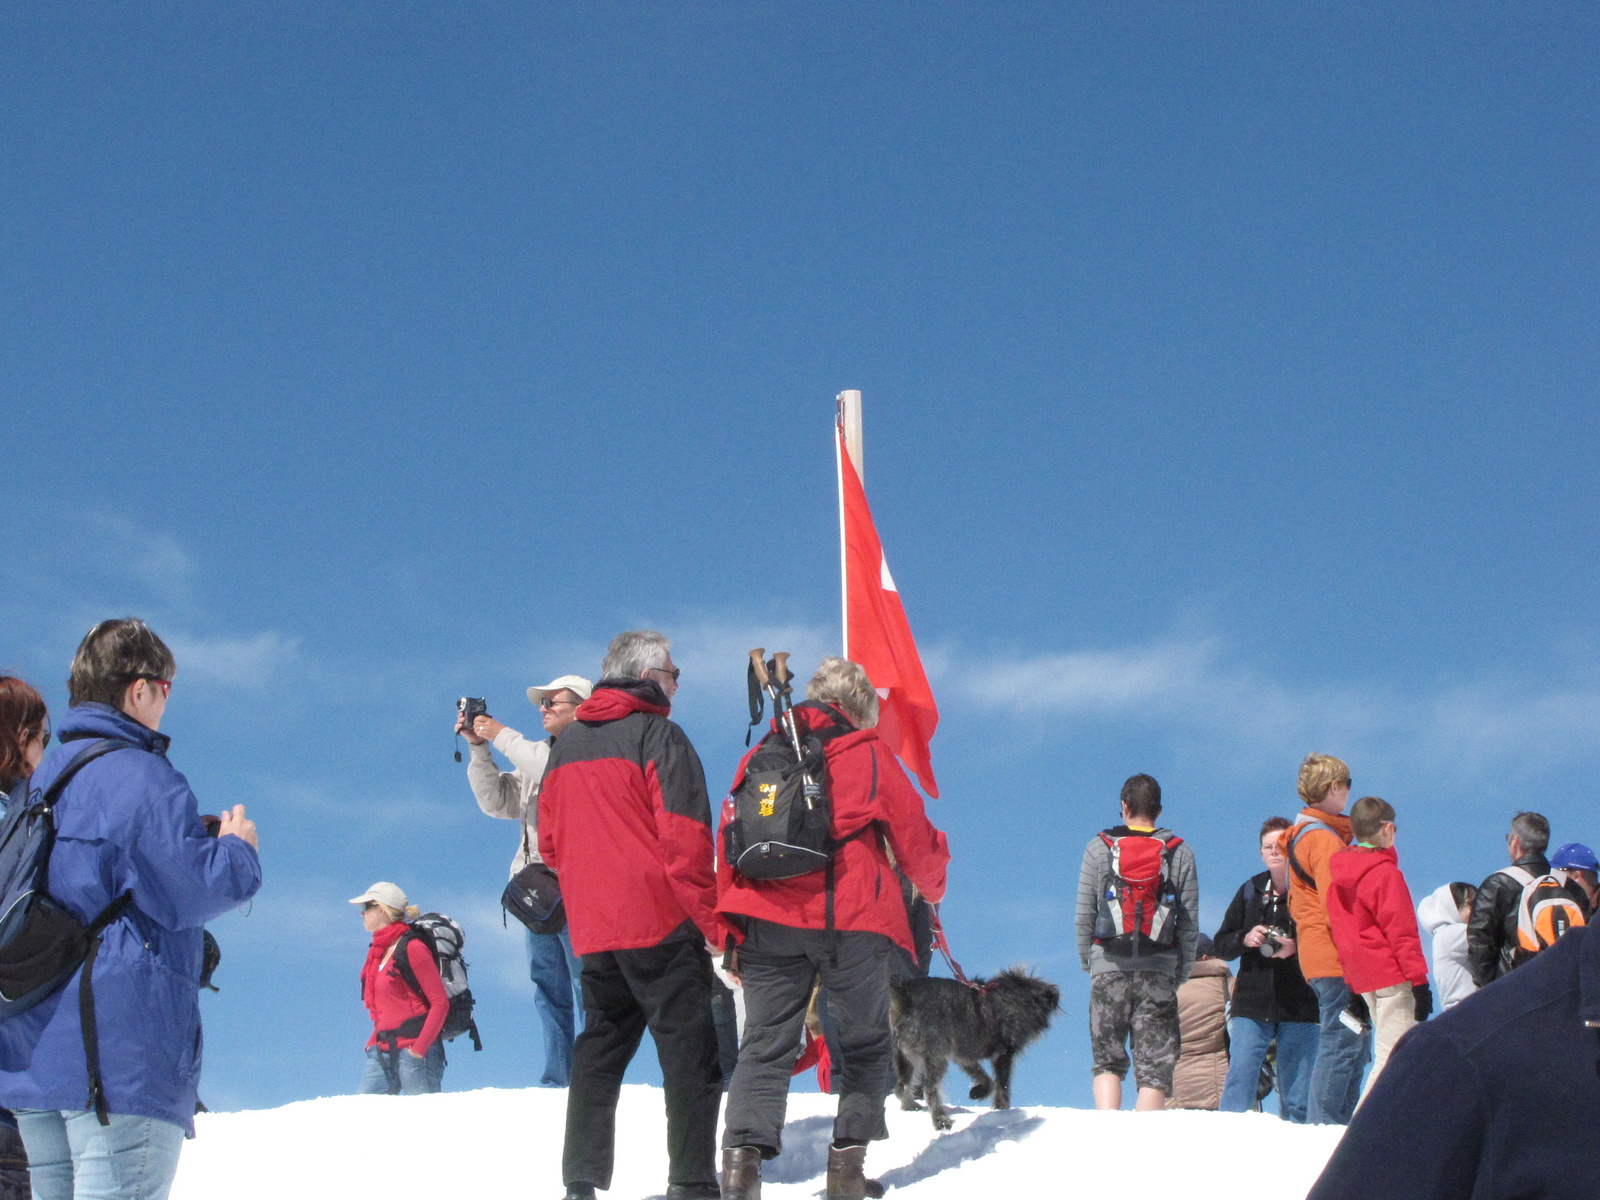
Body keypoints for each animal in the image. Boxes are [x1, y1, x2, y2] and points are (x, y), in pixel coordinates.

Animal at [889, 966, 1062, 1139]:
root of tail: (903, 992)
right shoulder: (1003, 1054)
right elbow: (1002, 1087)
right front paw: (1001, 1111)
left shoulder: (963, 1056)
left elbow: (986, 1079)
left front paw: (978, 1092)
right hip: (936, 1057)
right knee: (929, 1089)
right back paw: (941, 1120)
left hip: (907, 1056)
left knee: (900, 1087)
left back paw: (910, 1106)